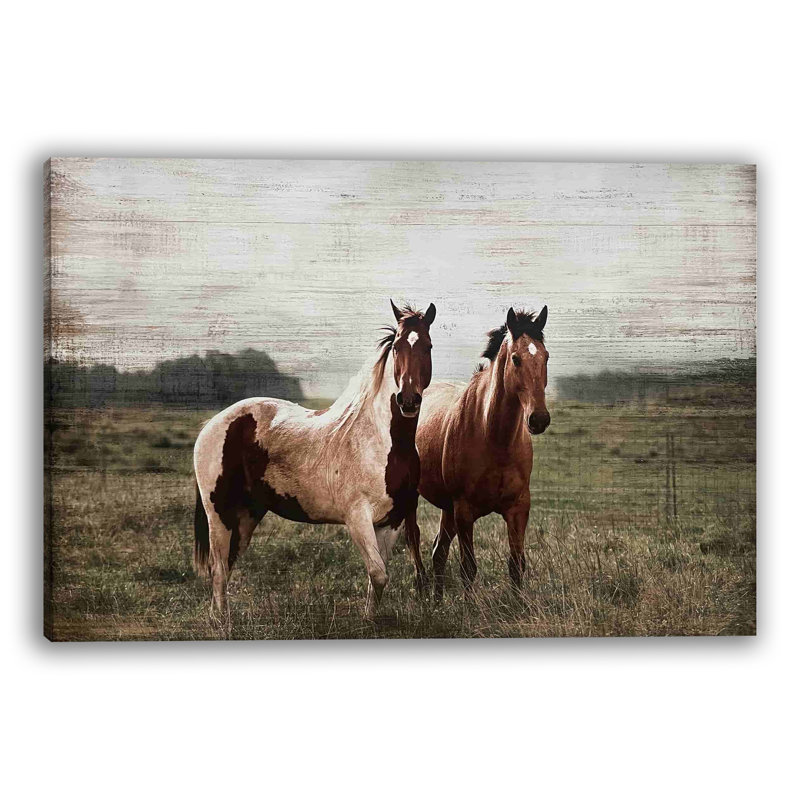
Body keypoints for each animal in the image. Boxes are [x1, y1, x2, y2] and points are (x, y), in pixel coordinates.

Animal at [193, 300, 436, 622]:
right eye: (397, 347)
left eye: (428, 346)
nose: (408, 401)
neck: (385, 444)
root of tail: (212, 424)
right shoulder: (357, 518)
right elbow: (378, 573)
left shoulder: (392, 522)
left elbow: (378, 579)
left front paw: (371, 620)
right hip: (218, 513)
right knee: (219, 569)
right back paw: (223, 624)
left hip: (247, 516)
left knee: (226, 565)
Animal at [410, 306, 549, 600]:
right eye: (516, 359)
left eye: (546, 356)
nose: (539, 419)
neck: (494, 438)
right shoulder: (464, 511)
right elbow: (468, 568)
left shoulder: (518, 508)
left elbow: (516, 564)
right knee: (413, 538)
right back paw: (422, 589)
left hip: (447, 508)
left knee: (439, 551)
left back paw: (437, 601)